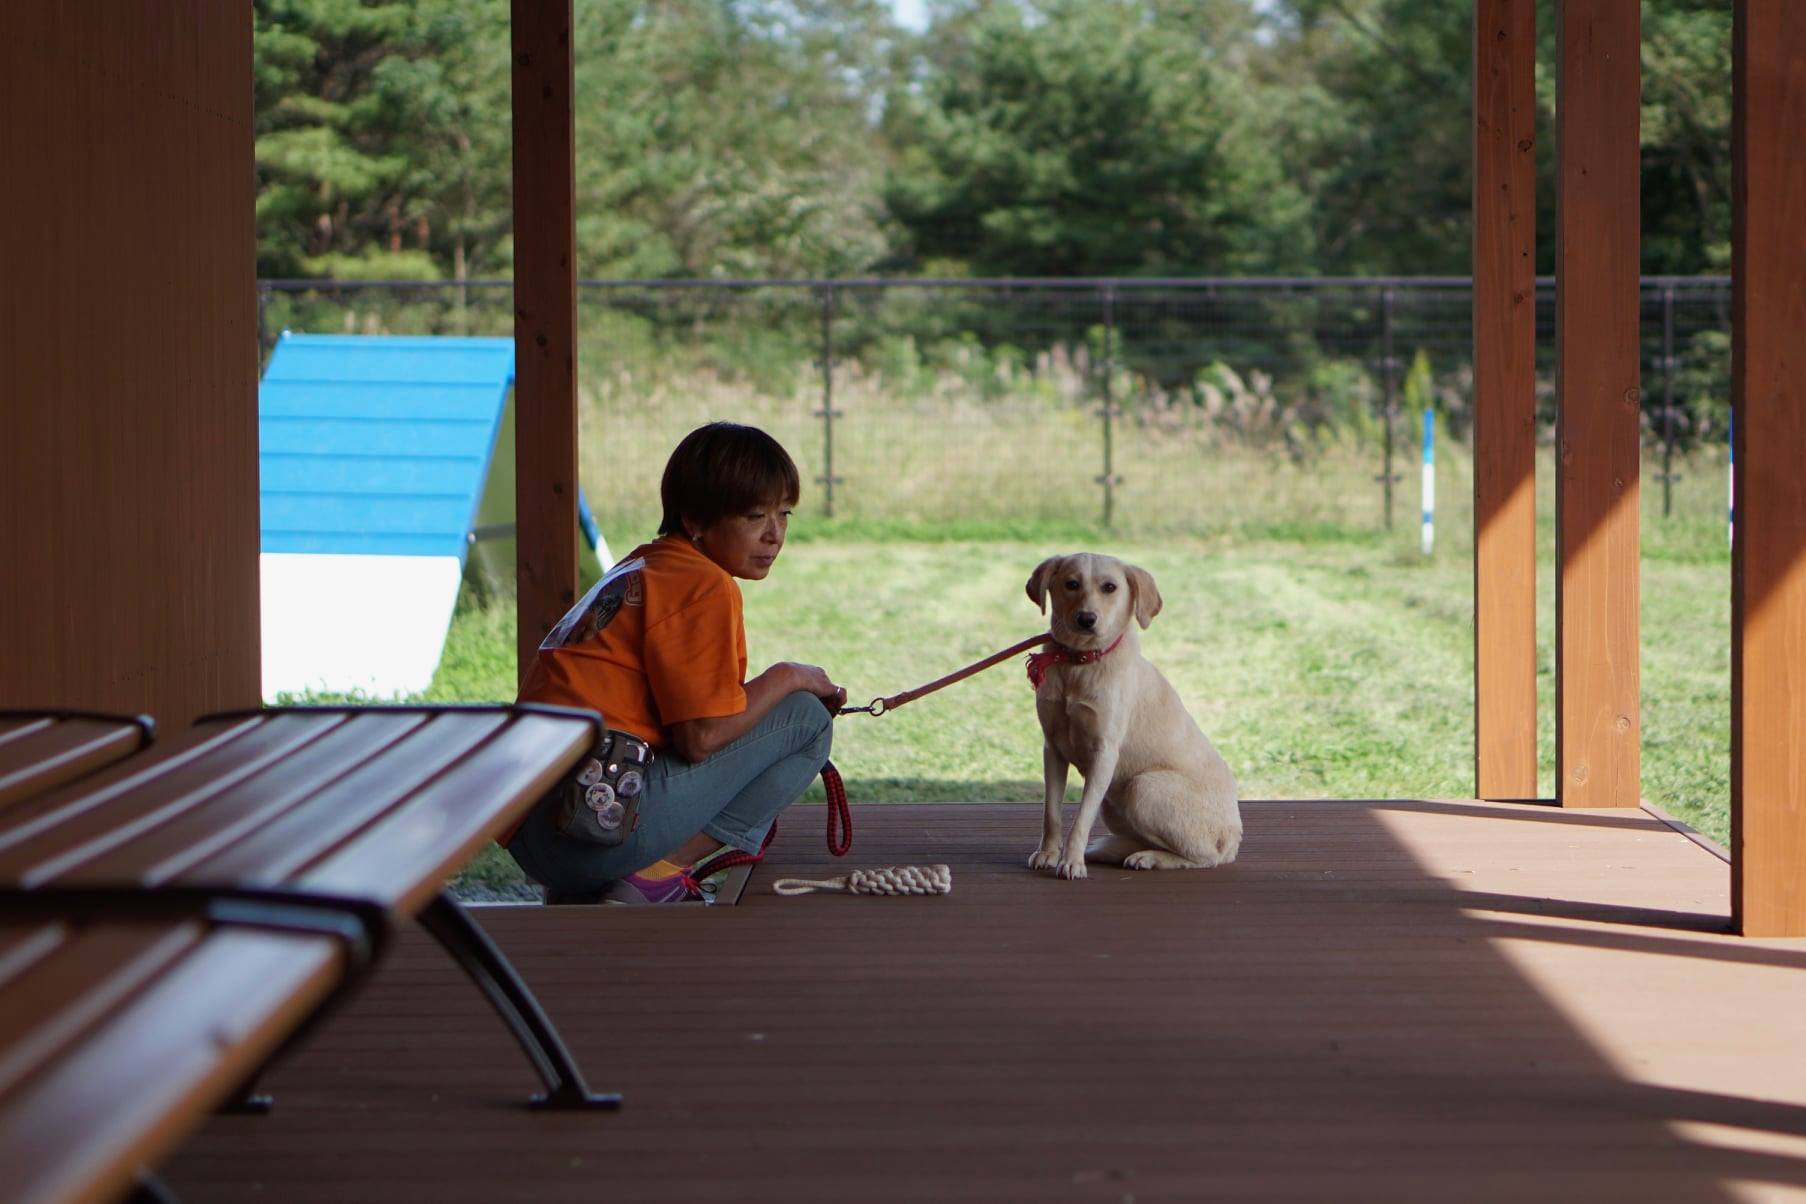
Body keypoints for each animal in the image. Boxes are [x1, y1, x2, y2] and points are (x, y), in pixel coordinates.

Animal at [1033, 552, 1242, 880]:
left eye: (1110, 587)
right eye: (1071, 584)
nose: (1086, 619)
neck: (1079, 663)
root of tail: (1234, 838)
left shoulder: (1104, 752)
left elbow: (1081, 819)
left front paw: (1072, 861)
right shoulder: (1052, 748)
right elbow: (1051, 813)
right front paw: (1049, 854)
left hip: (1143, 787)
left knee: (1205, 856)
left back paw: (1151, 858)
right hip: (1114, 799)